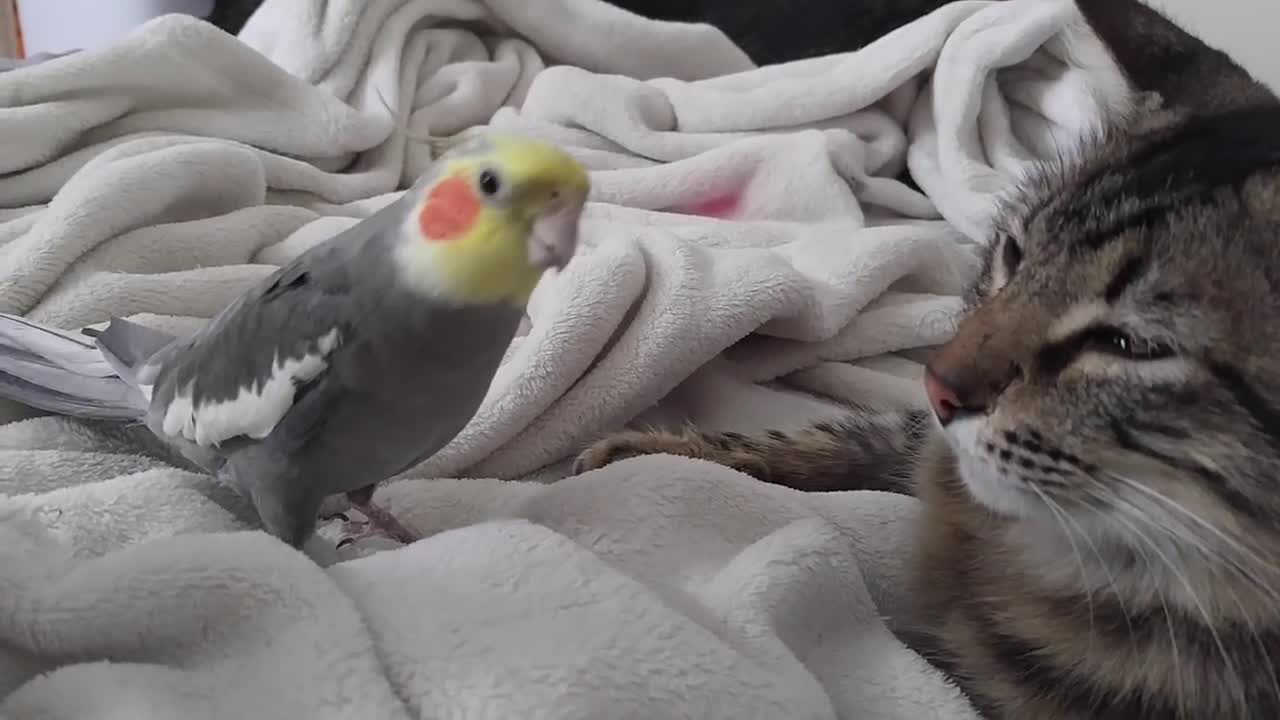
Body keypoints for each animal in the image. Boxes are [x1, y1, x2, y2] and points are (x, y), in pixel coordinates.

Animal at [576, 1, 1280, 717]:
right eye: (1013, 255)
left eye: (1129, 345)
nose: (938, 386)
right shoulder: (919, 441)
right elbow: (831, 439)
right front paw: (648, 451)